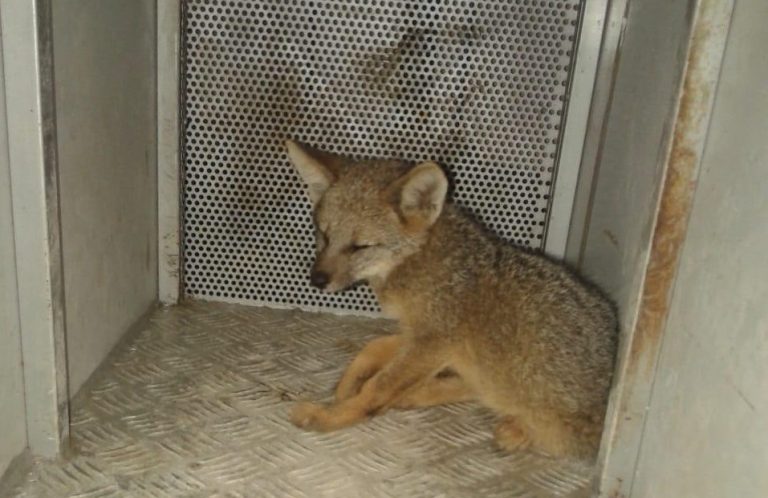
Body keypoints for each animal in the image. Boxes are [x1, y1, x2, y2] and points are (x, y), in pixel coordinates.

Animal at [284, 139, 618, 460]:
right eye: (324, 235)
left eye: (360, 246)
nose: (316, 280)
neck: (420, 261)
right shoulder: (422, 336)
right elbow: (372, 348)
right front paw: (347, 384)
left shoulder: (433, 342)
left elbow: (375, 389)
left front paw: (328, 416)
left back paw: (515, 430)